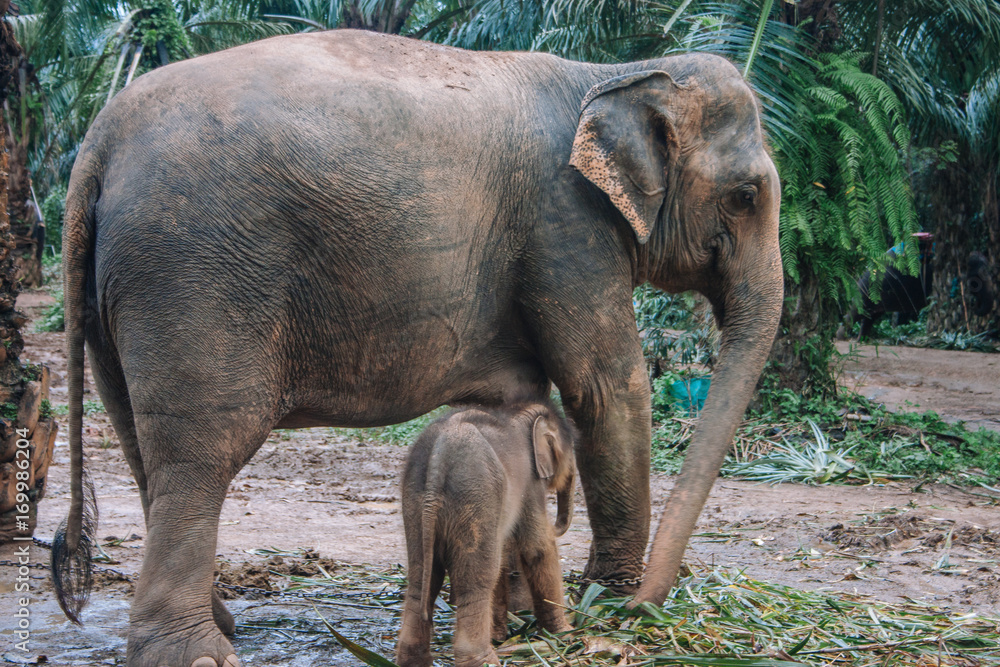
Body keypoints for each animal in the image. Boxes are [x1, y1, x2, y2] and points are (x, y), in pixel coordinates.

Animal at [395, 401, 575, 667]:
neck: (521, 414)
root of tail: (440, 451)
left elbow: (505, 550)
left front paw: (500, 636)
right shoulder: (530, 484)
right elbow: (537, 548)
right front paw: (565, 633)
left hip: (414, 497)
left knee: (421, 578)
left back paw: (413, 660)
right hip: (475, 495)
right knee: (477, 579)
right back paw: (484, 660)